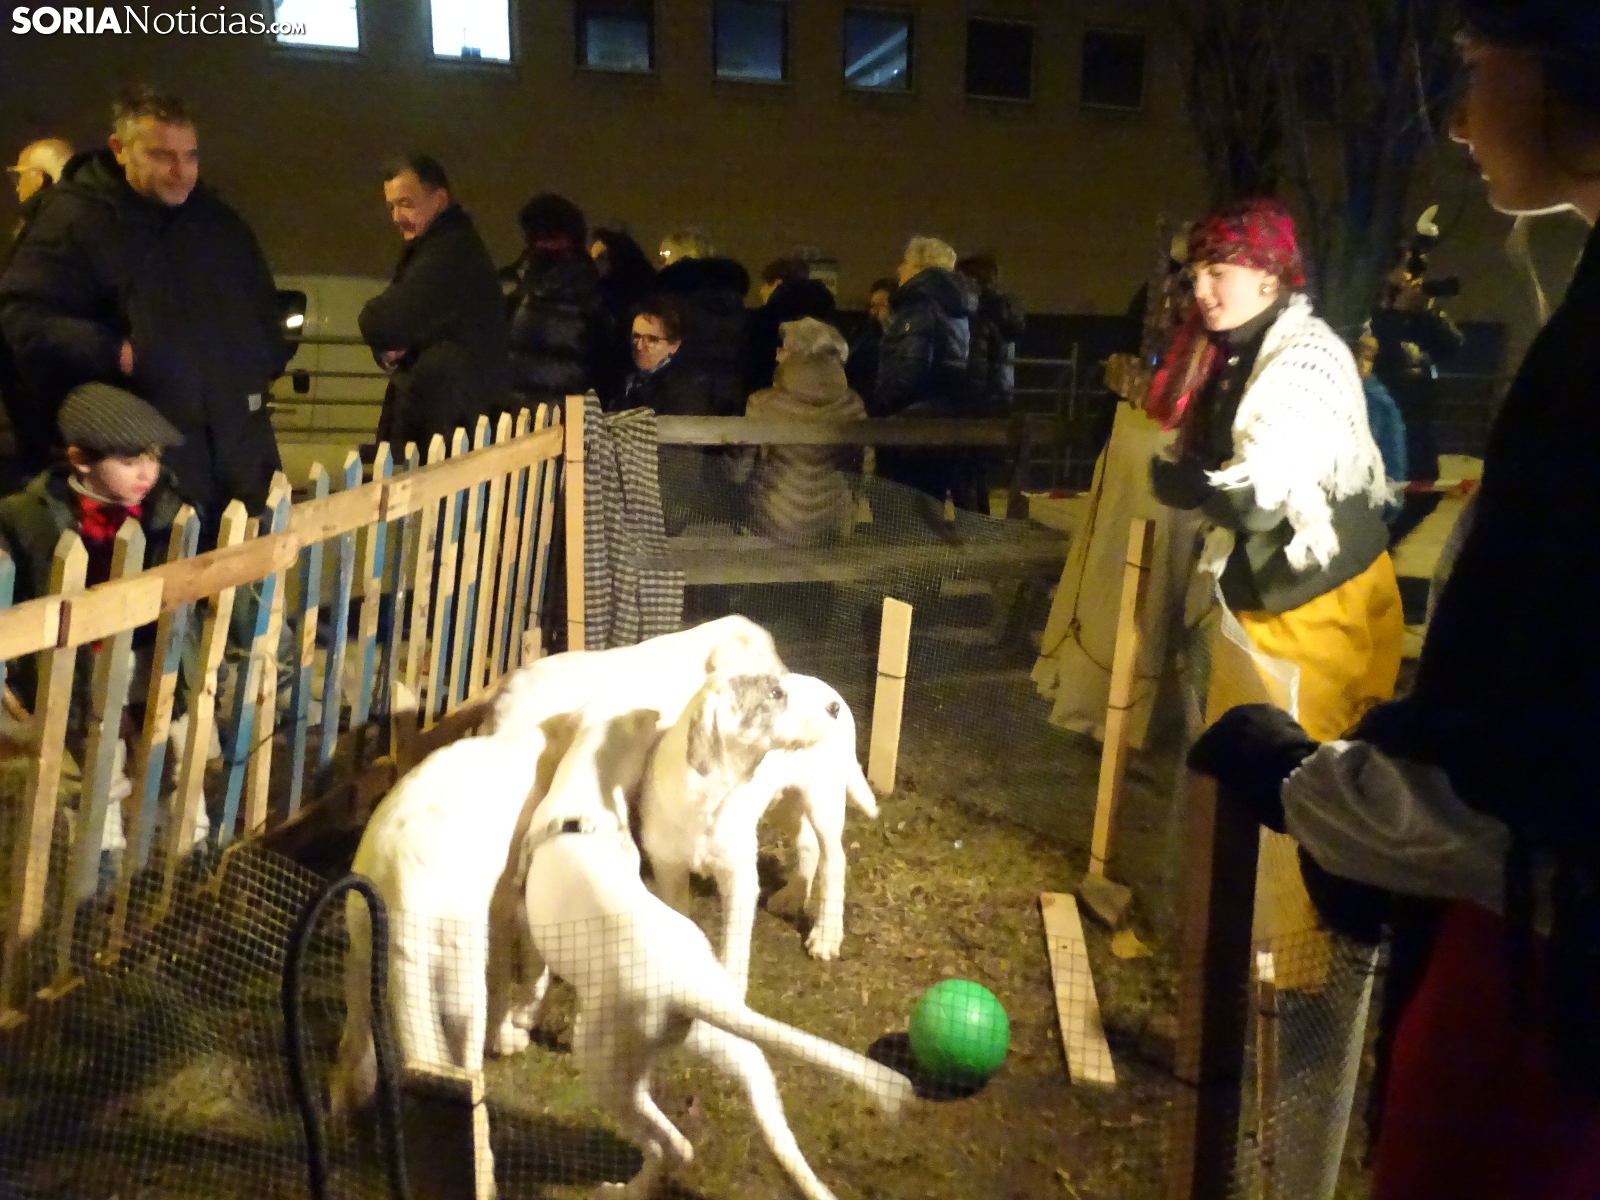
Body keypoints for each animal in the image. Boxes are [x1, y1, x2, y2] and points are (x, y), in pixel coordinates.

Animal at [640, 673, 876, 995]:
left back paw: (826, 934)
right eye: (775, 693)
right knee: (808, 843)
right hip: (785, 801)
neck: (709, 798)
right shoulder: (668, 870)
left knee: (834, 859)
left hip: (824, 798)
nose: (833, 709)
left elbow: (734, 951)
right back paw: (792, 896)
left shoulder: (740, 881)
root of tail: (829, 687)